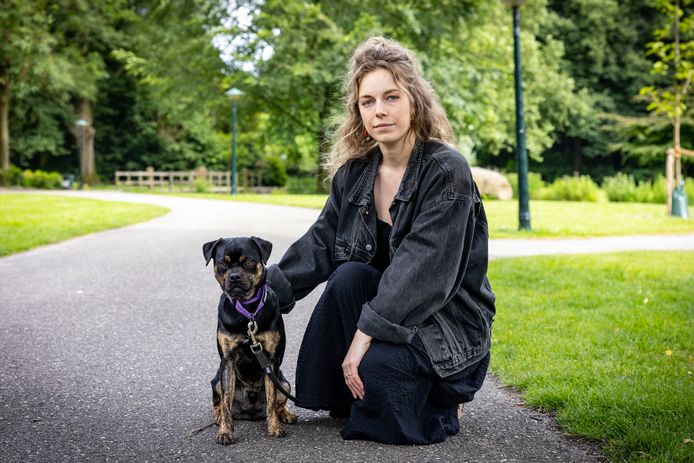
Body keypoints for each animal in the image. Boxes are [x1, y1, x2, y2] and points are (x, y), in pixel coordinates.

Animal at [203, 237, 298, 444]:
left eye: (248, 261)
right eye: (223, 263)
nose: (235, 276)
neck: (247, 310)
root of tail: (250, 413)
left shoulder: (270, 360)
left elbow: (272, 400)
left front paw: (274, 428)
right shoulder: (228, 361)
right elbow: (226, 400)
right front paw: (225, 431)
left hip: (284, 382)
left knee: (278, 402)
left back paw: (286, 414)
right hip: (216, 381)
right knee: (219, 403)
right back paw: (218, 416)